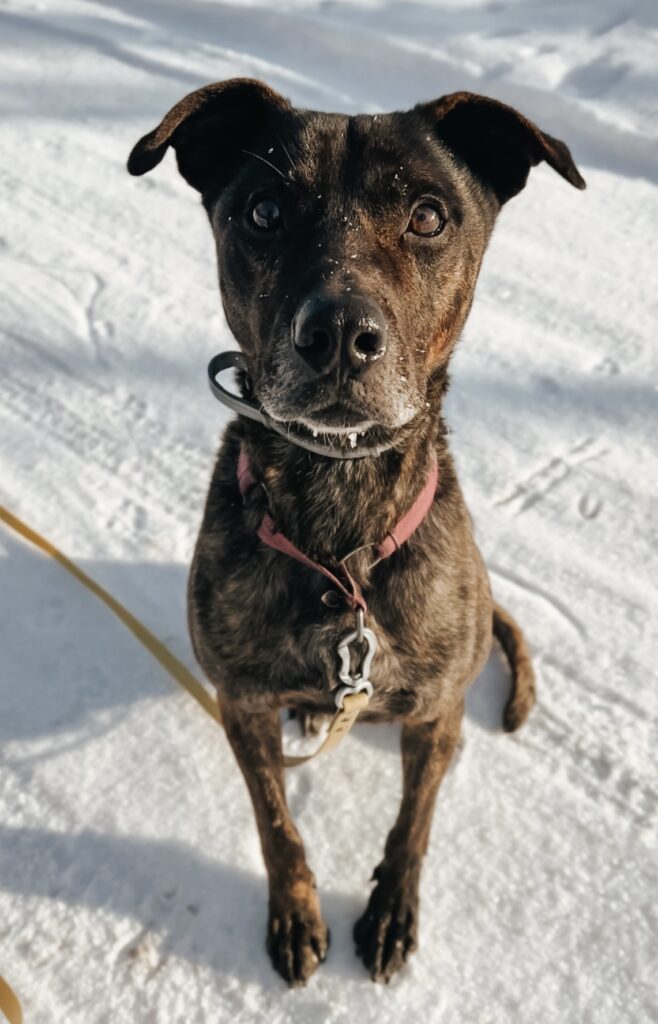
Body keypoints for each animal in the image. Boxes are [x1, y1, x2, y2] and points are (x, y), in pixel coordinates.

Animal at [128, 79, 585, 986]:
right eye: (264, 210)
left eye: (429, 216)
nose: (339, 334)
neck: (340, 531)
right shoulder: (242, 706)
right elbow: (277, 826)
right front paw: (296, 915)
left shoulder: (436, 717)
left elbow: (414, 825)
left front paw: (391, 912)